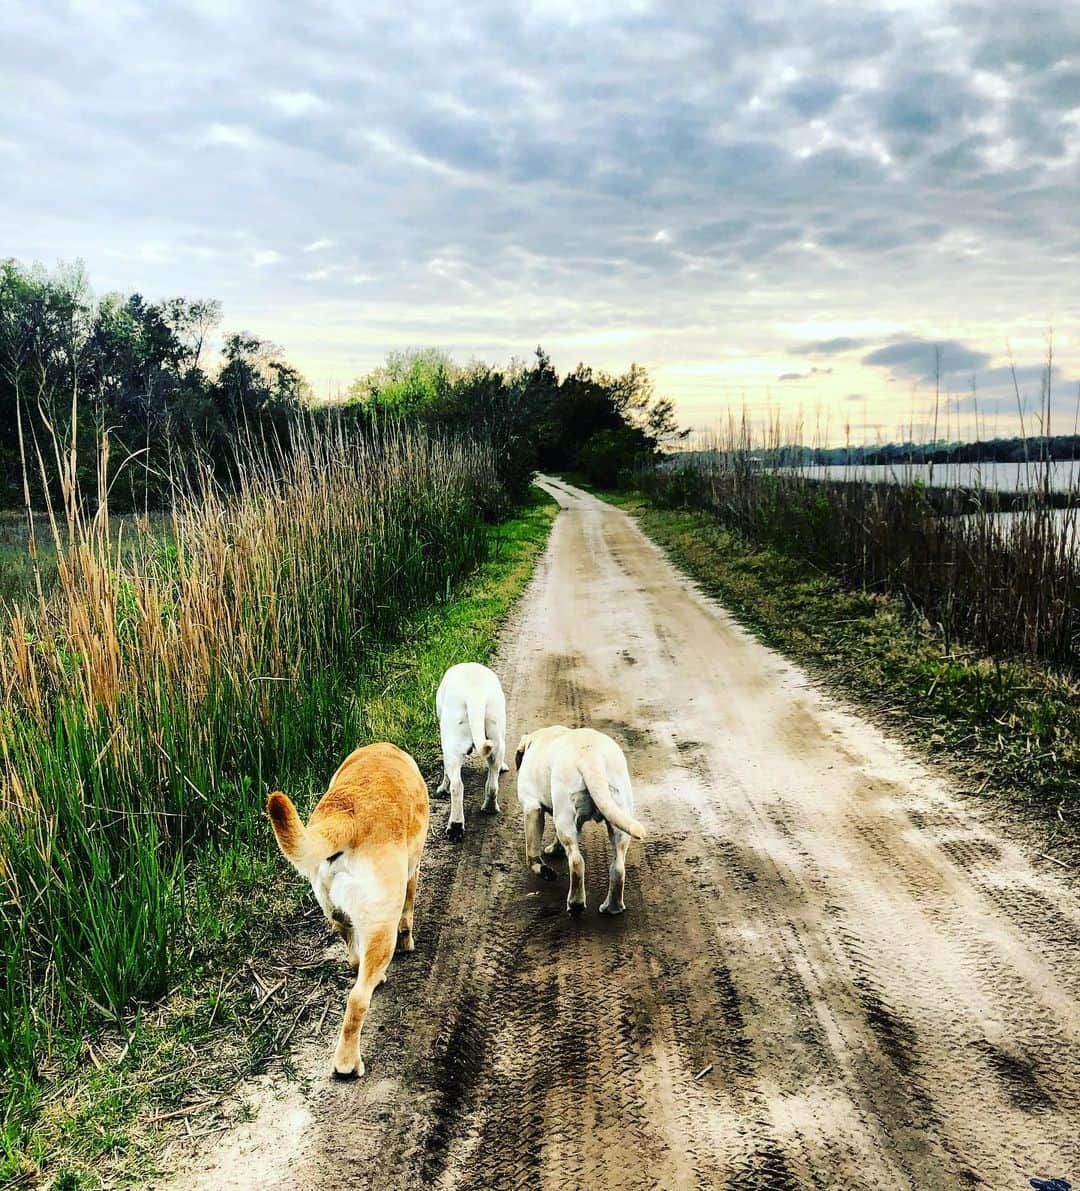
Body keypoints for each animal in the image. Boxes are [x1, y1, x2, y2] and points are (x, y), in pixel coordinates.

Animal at [265, 743, 426, 1081]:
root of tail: (346, 814)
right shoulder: (413, 871)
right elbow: (409, 913)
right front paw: (409, 942)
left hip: (336, 913)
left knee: (355, 958)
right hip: (382, 930)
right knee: (357, 998)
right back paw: (347, 1063)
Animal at [438, 662, 509, 838]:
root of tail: (475, 695)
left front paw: (442, 788)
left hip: (452, 745)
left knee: (456, 785)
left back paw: (455, 826)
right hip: (496, 737)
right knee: (492, 783)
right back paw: (488, 809)